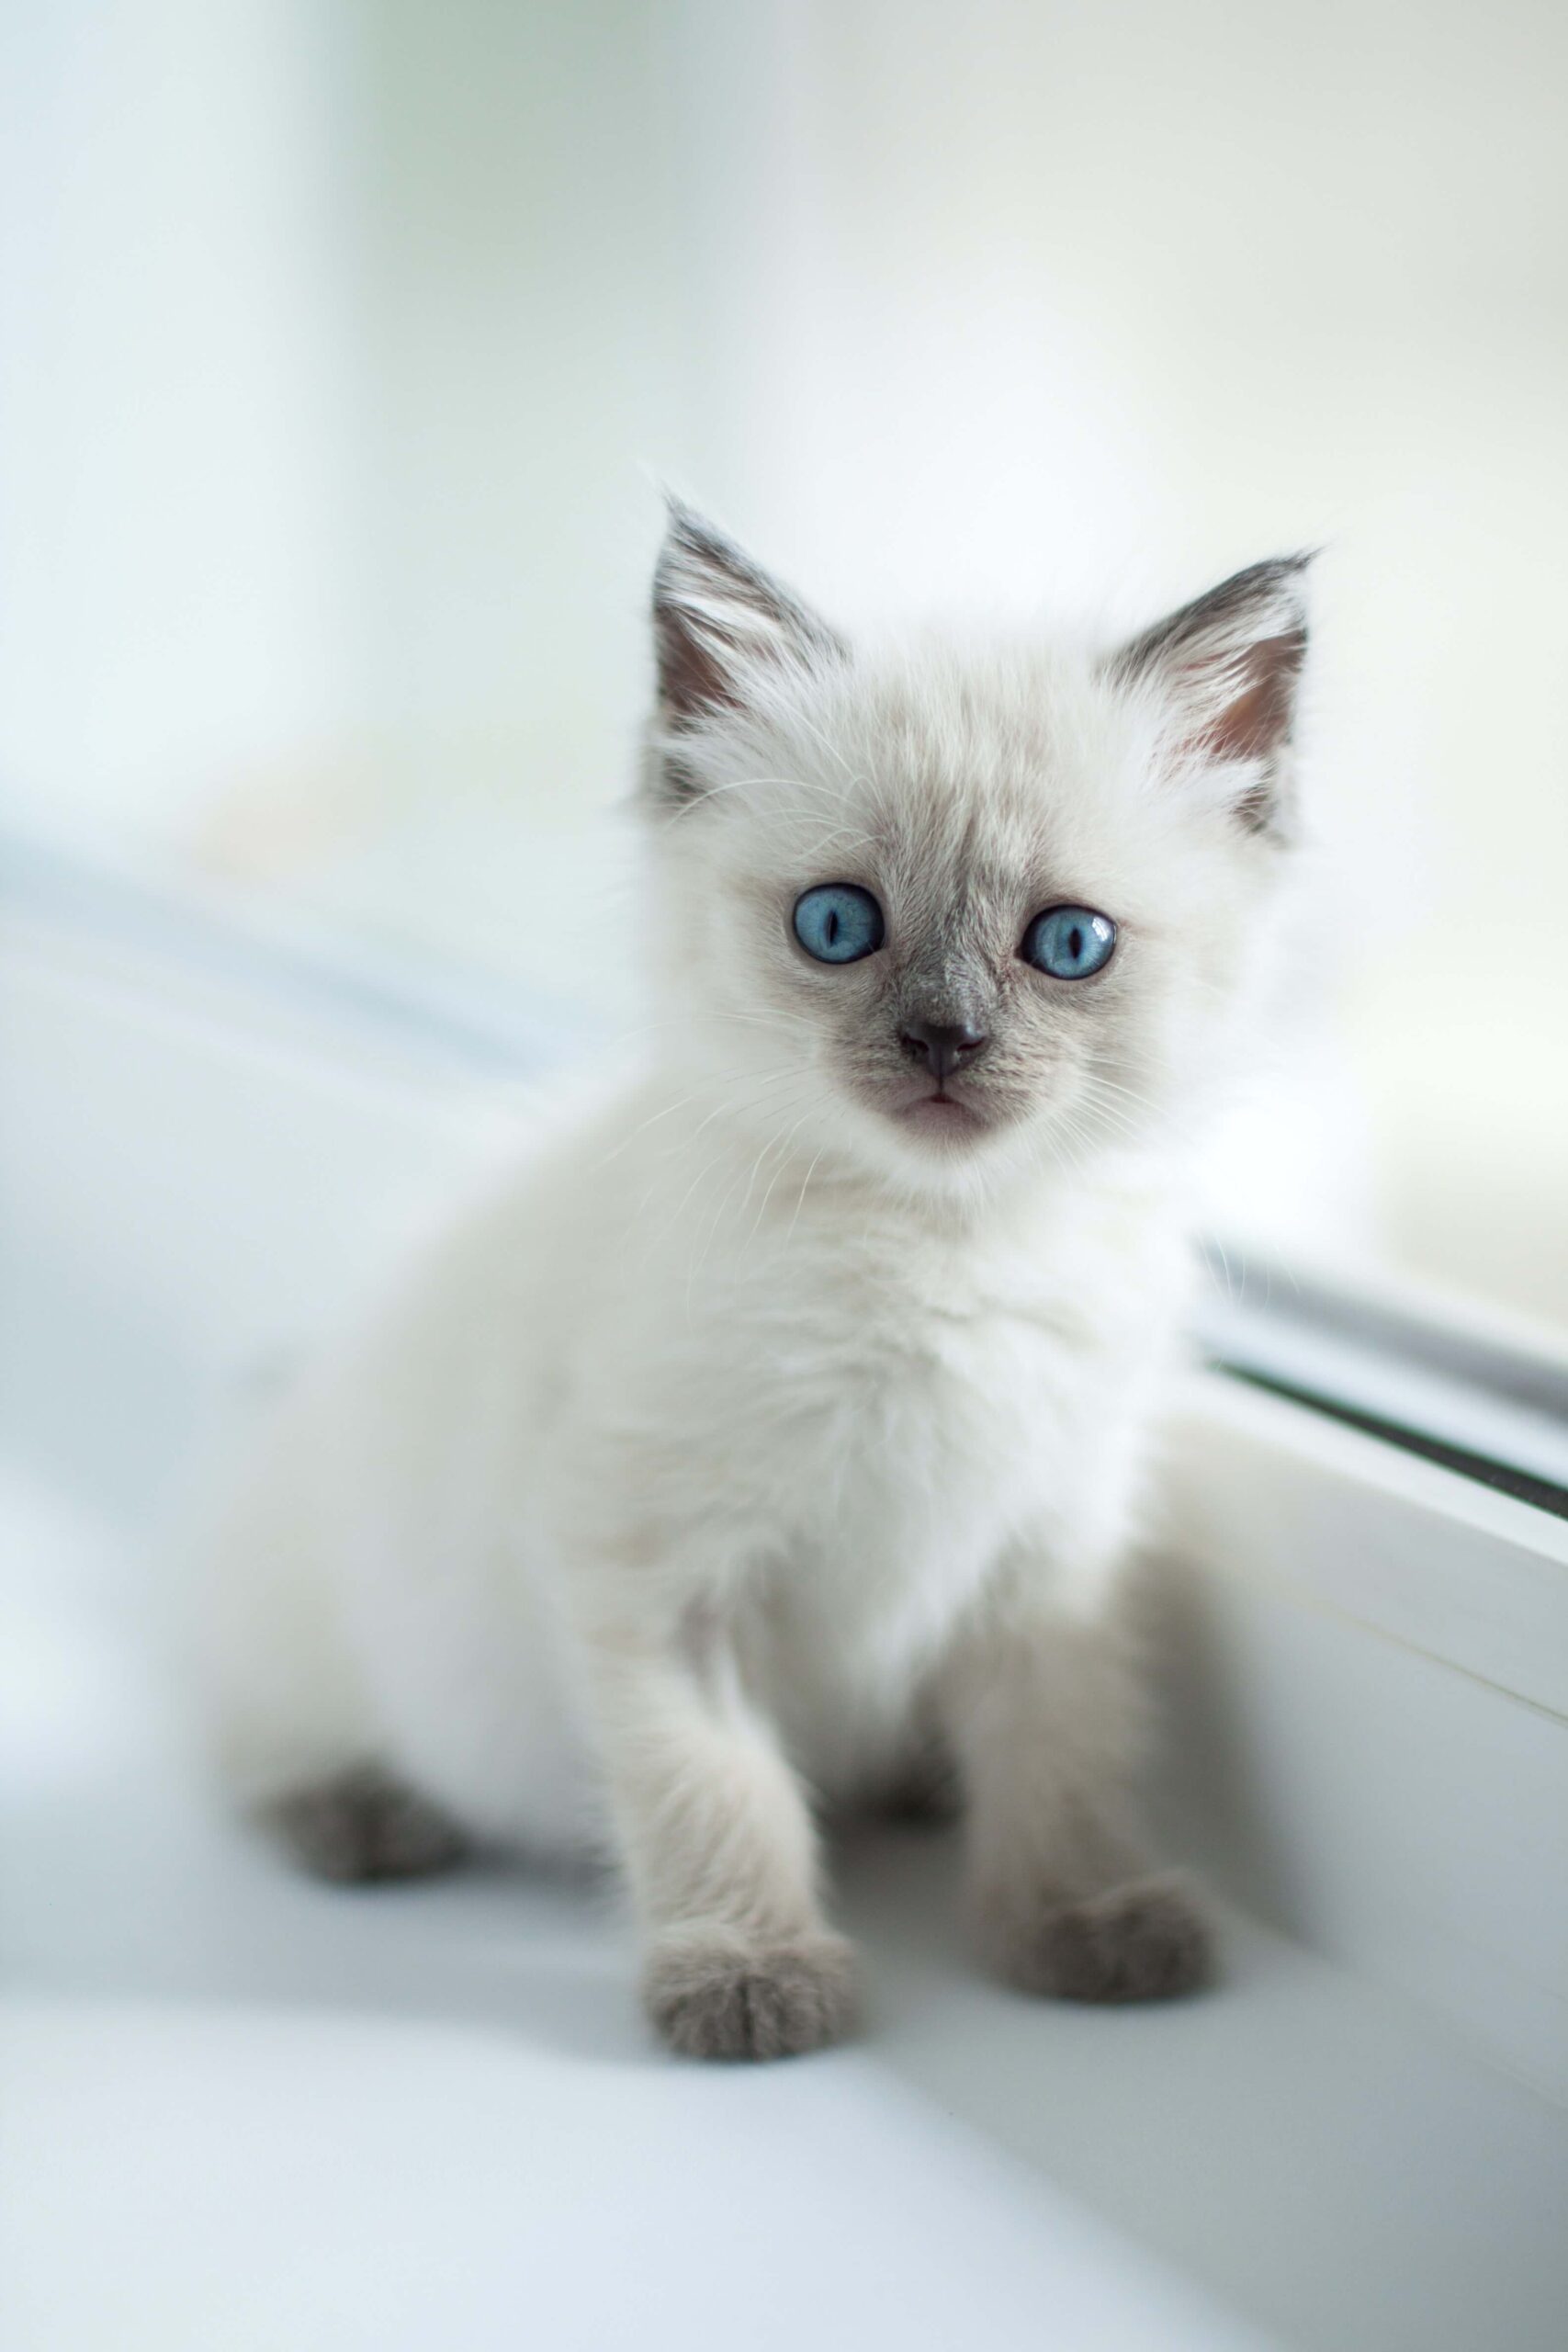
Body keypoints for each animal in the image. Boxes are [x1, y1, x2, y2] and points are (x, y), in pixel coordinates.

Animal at [199, 501, 1316, 2060]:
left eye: (1068, 944)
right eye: (837, 926)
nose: (944, 1042)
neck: (937, 1245)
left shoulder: (1048, 1557)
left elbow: (1061, 1756)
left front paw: (1077, 1920)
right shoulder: (652, 1568)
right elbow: (715, 1789)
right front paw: (747, 1979)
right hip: (320, 1619)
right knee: (250, 1733)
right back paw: (361, 1817)